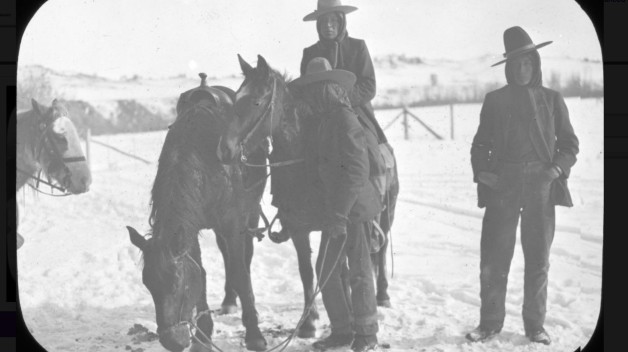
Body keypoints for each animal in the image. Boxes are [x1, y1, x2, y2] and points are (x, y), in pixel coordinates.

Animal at [127, 77, 268, 352]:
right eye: (147, 284)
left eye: (175, 282)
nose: (172, 341)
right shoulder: (190, 228)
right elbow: (201, 272)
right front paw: (203, 337)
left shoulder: (233, 224)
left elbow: (241, 273)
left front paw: (255, 334)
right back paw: (228, 300)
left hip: (251, 212)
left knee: (243, 258)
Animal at [218, 55, 400, 338]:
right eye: (236, 98)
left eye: (256, 101)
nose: (224, 150)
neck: (304, 160)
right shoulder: (298, 228)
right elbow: (307, 270)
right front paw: (308, 321)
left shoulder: (332, 225)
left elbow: (335, 267)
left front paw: (345, 313)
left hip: (386, 213)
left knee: (379, 252)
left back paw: (382, 295)